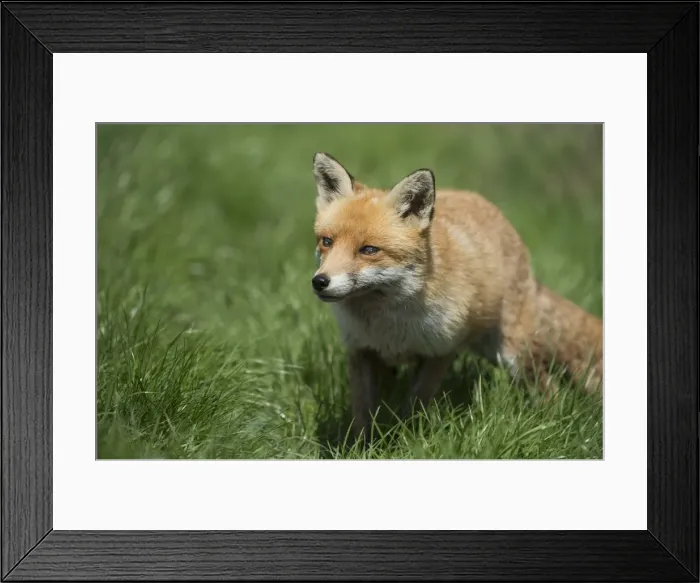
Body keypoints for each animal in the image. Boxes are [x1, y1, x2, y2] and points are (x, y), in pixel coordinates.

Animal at [310, 152, 603, 441]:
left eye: (369, 250)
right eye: (327, 242)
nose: (319, 282)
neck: (389, 325)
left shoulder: (441, 351)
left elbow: (415, 404)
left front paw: (407, 437)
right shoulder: (362, 351)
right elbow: (362, 416)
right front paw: (362, 447)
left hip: (513, 355)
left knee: (551, 389)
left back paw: (552, 424)